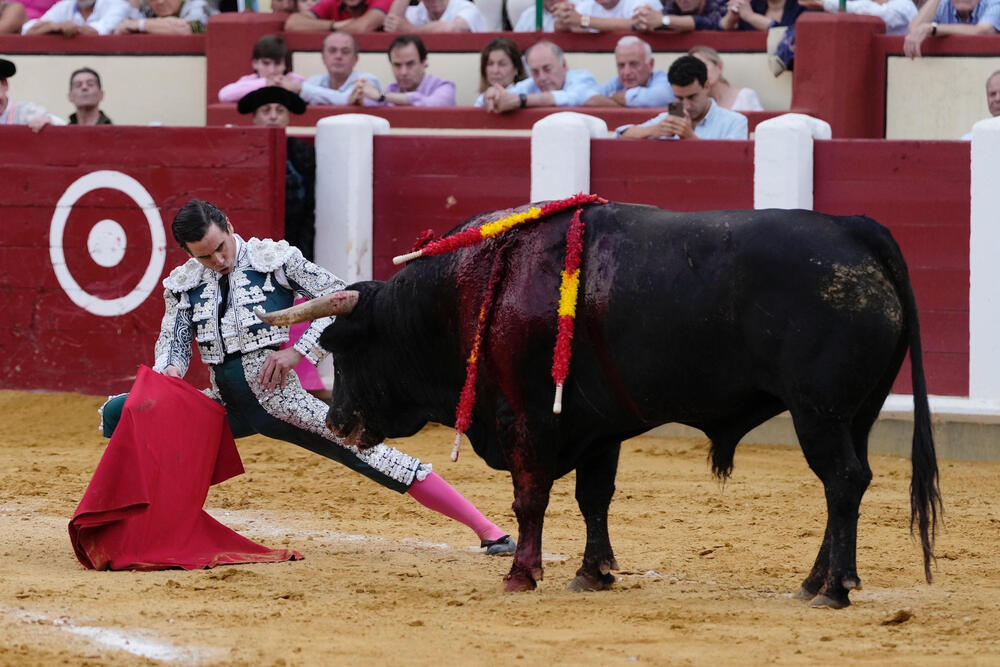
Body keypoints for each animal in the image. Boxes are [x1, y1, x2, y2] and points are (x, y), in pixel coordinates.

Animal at [256, 201, 936, 608]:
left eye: (344, 346)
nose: (338, 422)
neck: (468, 292)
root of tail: (856, 228)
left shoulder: (527, 418)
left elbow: (531, 497)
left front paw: (521, 574)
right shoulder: (597, 427)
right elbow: (594, 497)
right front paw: (593, 573)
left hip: (818, 412)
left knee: (842, 481)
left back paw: (835, 589)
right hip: (857, 414)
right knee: (848, 483)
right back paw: (813, 581)